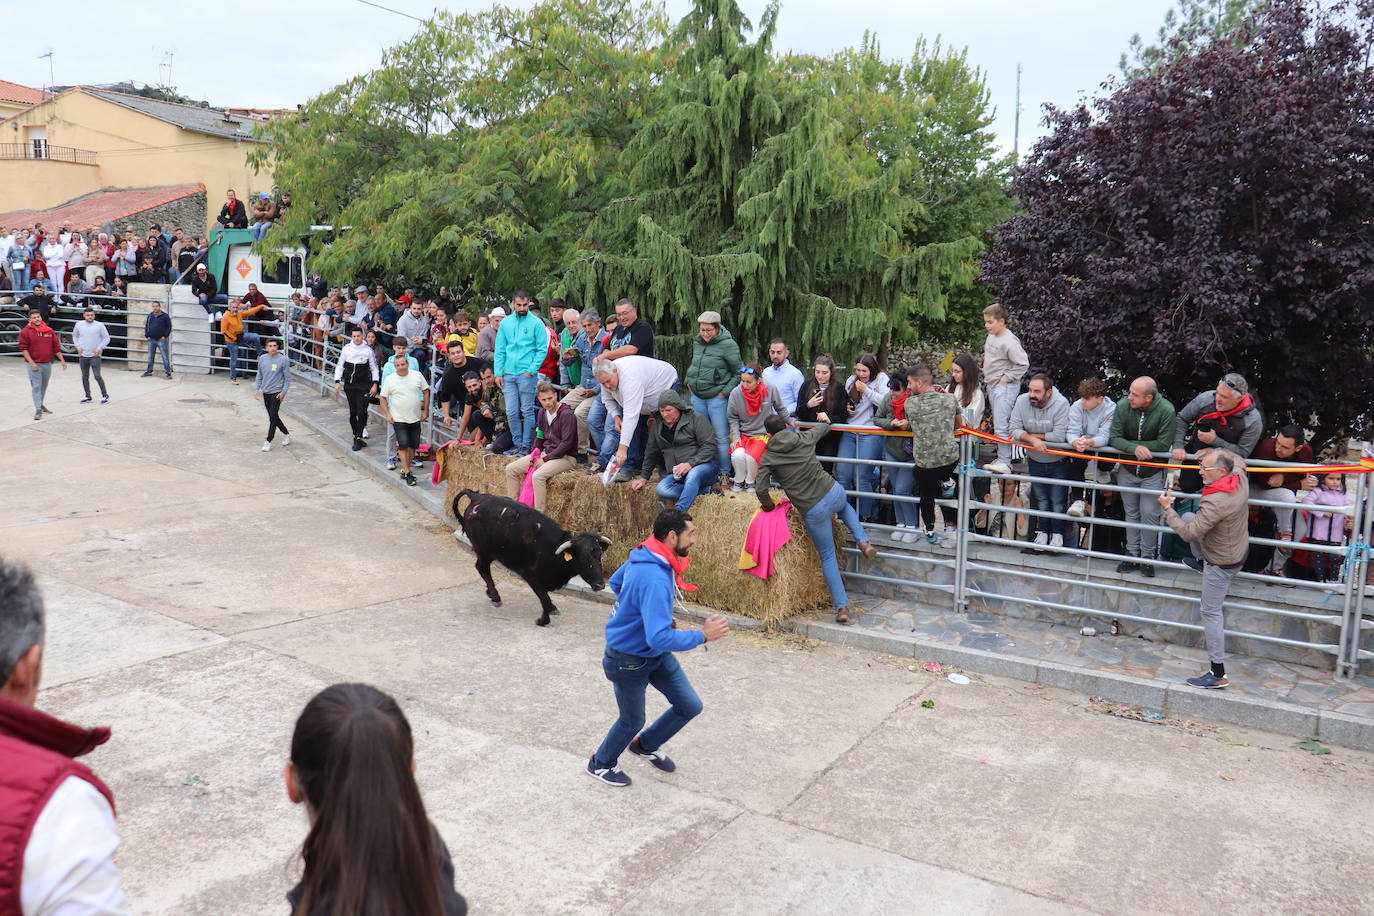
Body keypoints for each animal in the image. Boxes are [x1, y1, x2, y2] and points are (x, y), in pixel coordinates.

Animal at [450, 491, 612, 626]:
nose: (600, 585)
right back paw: (495, 597)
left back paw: (491, 593)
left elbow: (546, 599)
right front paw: (543, 620)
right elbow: (544, 598)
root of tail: (476, 496)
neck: (552, 551)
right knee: (482, 568)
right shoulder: (531, 576)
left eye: (599, 556)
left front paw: (552, 609)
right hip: (483, 550)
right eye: (584, 559)